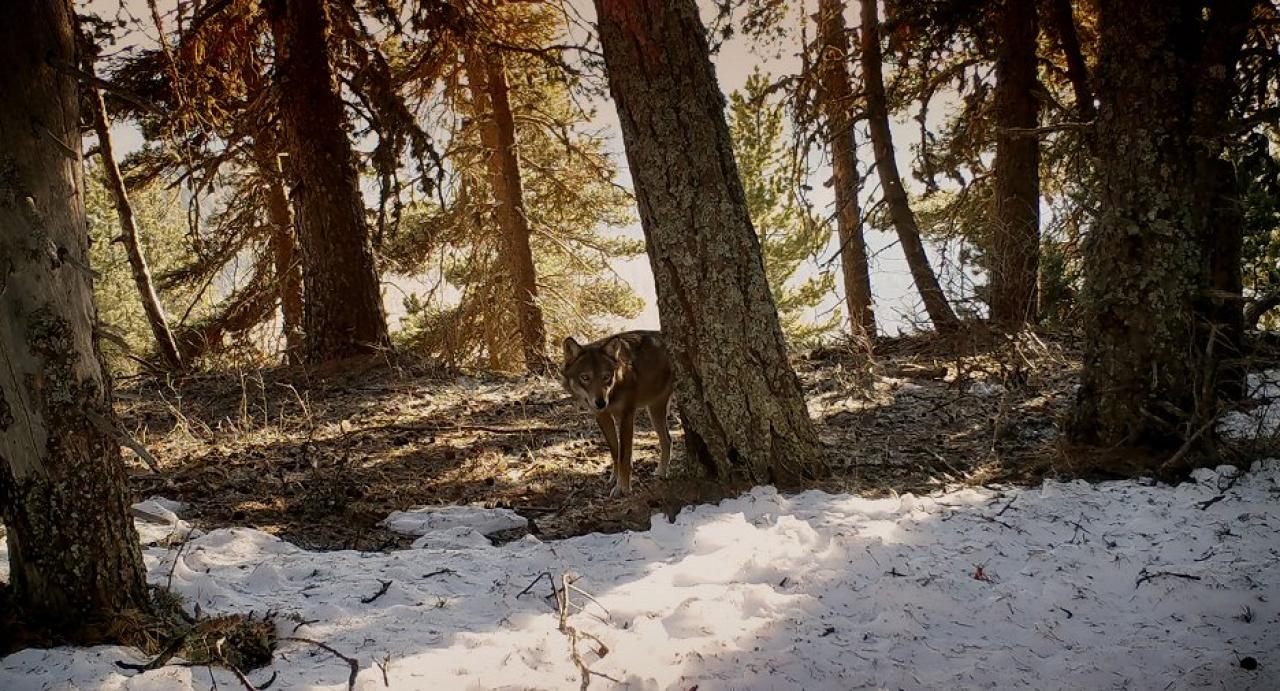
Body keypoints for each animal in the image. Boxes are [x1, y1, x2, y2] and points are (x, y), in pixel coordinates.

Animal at [563, 330, 675, 496]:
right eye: (585, 377)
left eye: (606, 377)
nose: (601, 403)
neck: (614, 390)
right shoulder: (602, 416)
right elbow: (615, 451)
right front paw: (614, 478)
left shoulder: (626, 416)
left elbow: (624, 455)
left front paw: (622, 488)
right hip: (654, 410)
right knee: (667, 440)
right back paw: (660, 473)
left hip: (656, 409)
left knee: (667, 439)